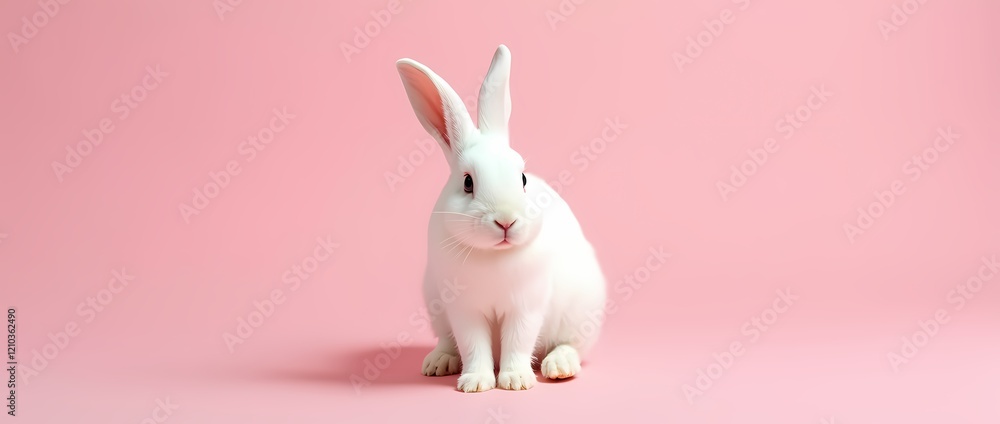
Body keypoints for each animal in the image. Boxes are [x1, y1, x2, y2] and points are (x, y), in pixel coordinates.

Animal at [395, 45, 607, 392]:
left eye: (522, 178)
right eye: (468, 183)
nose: (506, 221)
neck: (494, 256)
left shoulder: (526, 307)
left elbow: (518, 342)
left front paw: (516, 381)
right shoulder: (464, 310)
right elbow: (473, 345)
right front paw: (476, 382)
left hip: (580, 313)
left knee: (570, 345)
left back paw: (558, 366)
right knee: (449, 342)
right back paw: (438, 362)